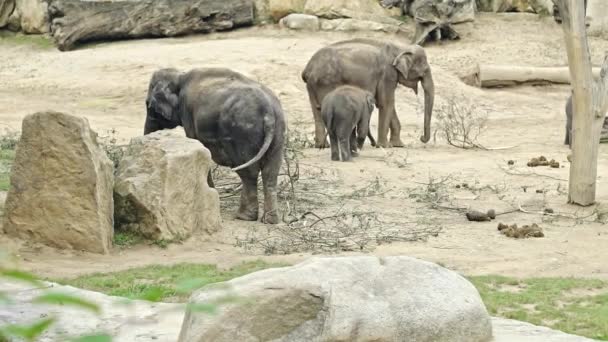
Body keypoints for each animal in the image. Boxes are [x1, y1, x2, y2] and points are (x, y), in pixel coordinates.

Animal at [144, 67, 286, 224]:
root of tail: (268, 111)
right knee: (270, 173)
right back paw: (270, 220)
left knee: (248, 172)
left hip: (242, 133)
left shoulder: (188, 112)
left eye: (148, 105)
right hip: (278, 131)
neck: (180, 75)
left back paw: (243, 216)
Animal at [302, 38, 434, 149]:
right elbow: (386, 103)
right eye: (424, 70)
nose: (422, 138)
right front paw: (385, 146)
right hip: (325, 82)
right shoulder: (387, 74)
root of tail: (307, 69)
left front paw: (398, 145)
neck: (400, 48)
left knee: (317, 109)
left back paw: (322, 146)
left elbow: (386, 103)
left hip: (313, 85)